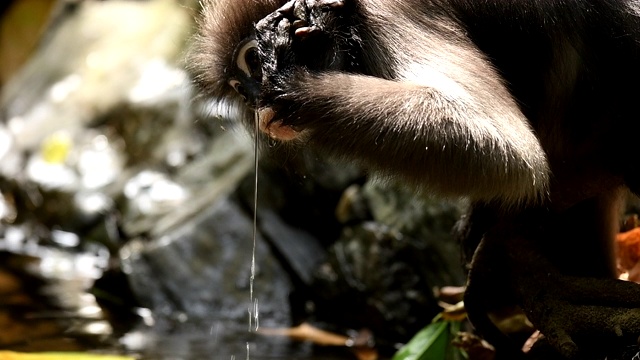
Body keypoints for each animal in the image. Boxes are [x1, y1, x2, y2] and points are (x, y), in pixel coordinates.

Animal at [186, 0, 640, 358]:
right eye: (238, 86)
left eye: (253, 60)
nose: (252, 98)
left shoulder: (392, 13)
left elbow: (506, 150)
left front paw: (293, 86)